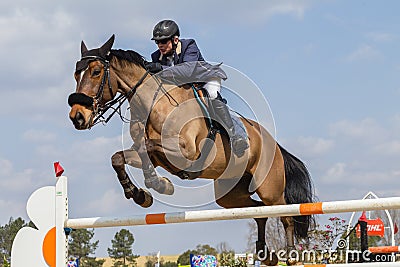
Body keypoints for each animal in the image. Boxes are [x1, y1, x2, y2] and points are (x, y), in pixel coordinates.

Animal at [69, 35, 314, 266]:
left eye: (96, 72)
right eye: (75, 75)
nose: (77, 116)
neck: (155, 104)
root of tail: (274, 143)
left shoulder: (186, 152)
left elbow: (147, 146)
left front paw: (159, 185)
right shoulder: (155, 157)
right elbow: (120, 157)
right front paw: (140, 194)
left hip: (270, 188)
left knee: (285, 214)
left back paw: (290, 254)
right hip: (230, 195)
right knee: (259, 212)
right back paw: (266, 254)